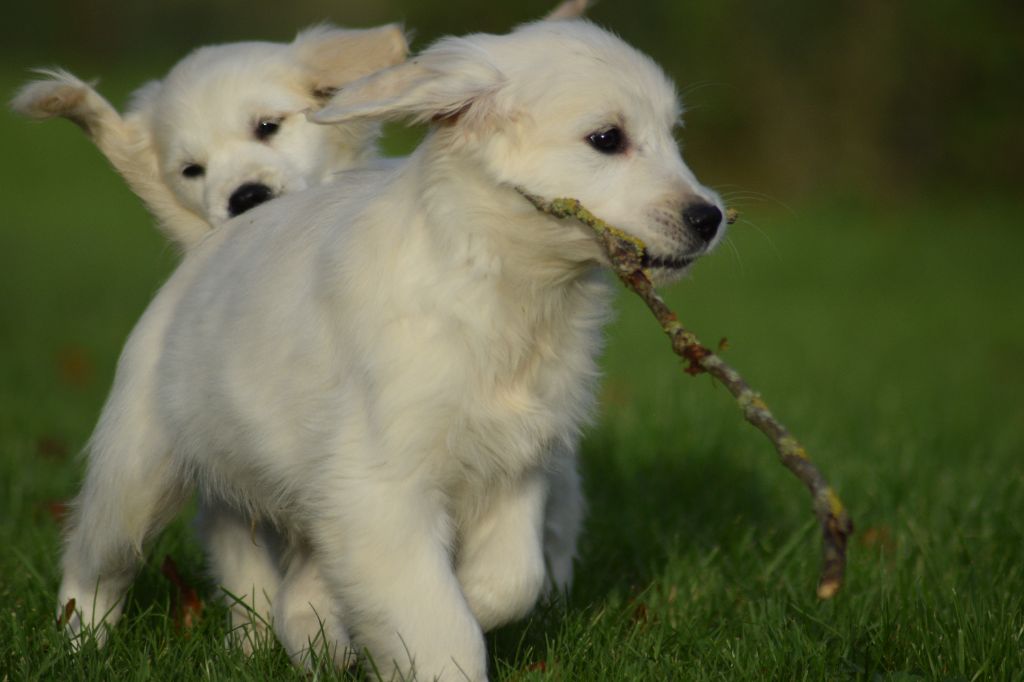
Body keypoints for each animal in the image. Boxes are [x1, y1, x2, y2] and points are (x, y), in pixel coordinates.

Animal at [59, 13, 729, 675]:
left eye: (673, 135)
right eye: (607, 139)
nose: (709, 218)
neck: (501, 284)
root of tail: (206, 245)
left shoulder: (515, 462)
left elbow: (509, 582)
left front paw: (352, 623)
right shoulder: (380, 484)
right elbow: (439, 627)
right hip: (138, 471)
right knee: (93, 561)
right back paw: (77, 645)